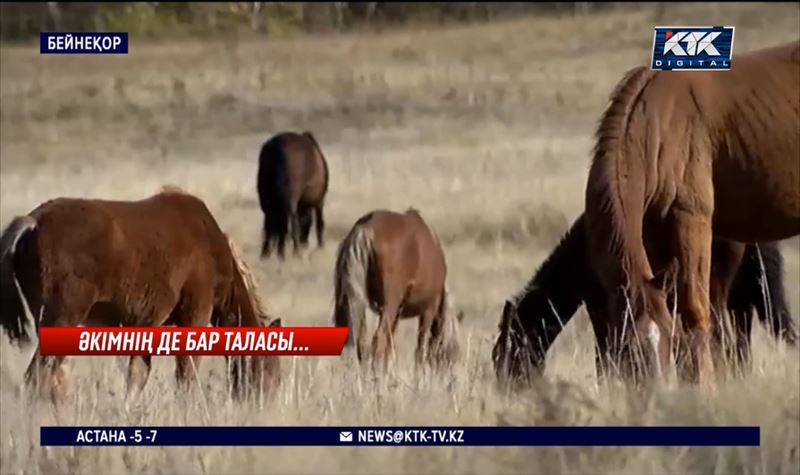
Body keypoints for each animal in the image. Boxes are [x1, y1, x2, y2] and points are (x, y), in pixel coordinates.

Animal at [0, 186, 282, 406]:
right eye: (272, 368)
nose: (266, 405)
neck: (211, 248)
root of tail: (33, 222)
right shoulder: (195, 316)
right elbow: (186, 373)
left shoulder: (146, 327)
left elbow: (137, 375)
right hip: (63, 320)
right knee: (37, 378)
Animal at [258, 130, 330, 260]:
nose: (304, 243)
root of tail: (277, 147)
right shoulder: (319, 201)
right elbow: (319, 223)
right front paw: (320, 246)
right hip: (291, 200)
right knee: (290, 222)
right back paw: (294, 252)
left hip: (266, 198)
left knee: (270, 222)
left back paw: (267, 253)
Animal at [332, 210, 466, 374]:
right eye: (453, 352)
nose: (447, 376)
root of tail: (365, 229)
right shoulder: (428, 309)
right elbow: (420, 349)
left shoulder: (397, 313)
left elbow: (390, 347)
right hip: (390, 305)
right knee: (378, 341)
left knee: (362, 344)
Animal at [490, 215, 796, 386]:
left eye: (506, 351)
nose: (507, 388)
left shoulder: (600, 308)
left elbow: (605, 357)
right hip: (741, 299)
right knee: (739, 347)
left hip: (717, 294)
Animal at [580, 41, 800, 388]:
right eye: (628, 347)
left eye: (666, 340)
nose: (656, 390)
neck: (656, 124)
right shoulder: (654, 241)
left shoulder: (691, 220)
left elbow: (694, 310)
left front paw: (704, 386)